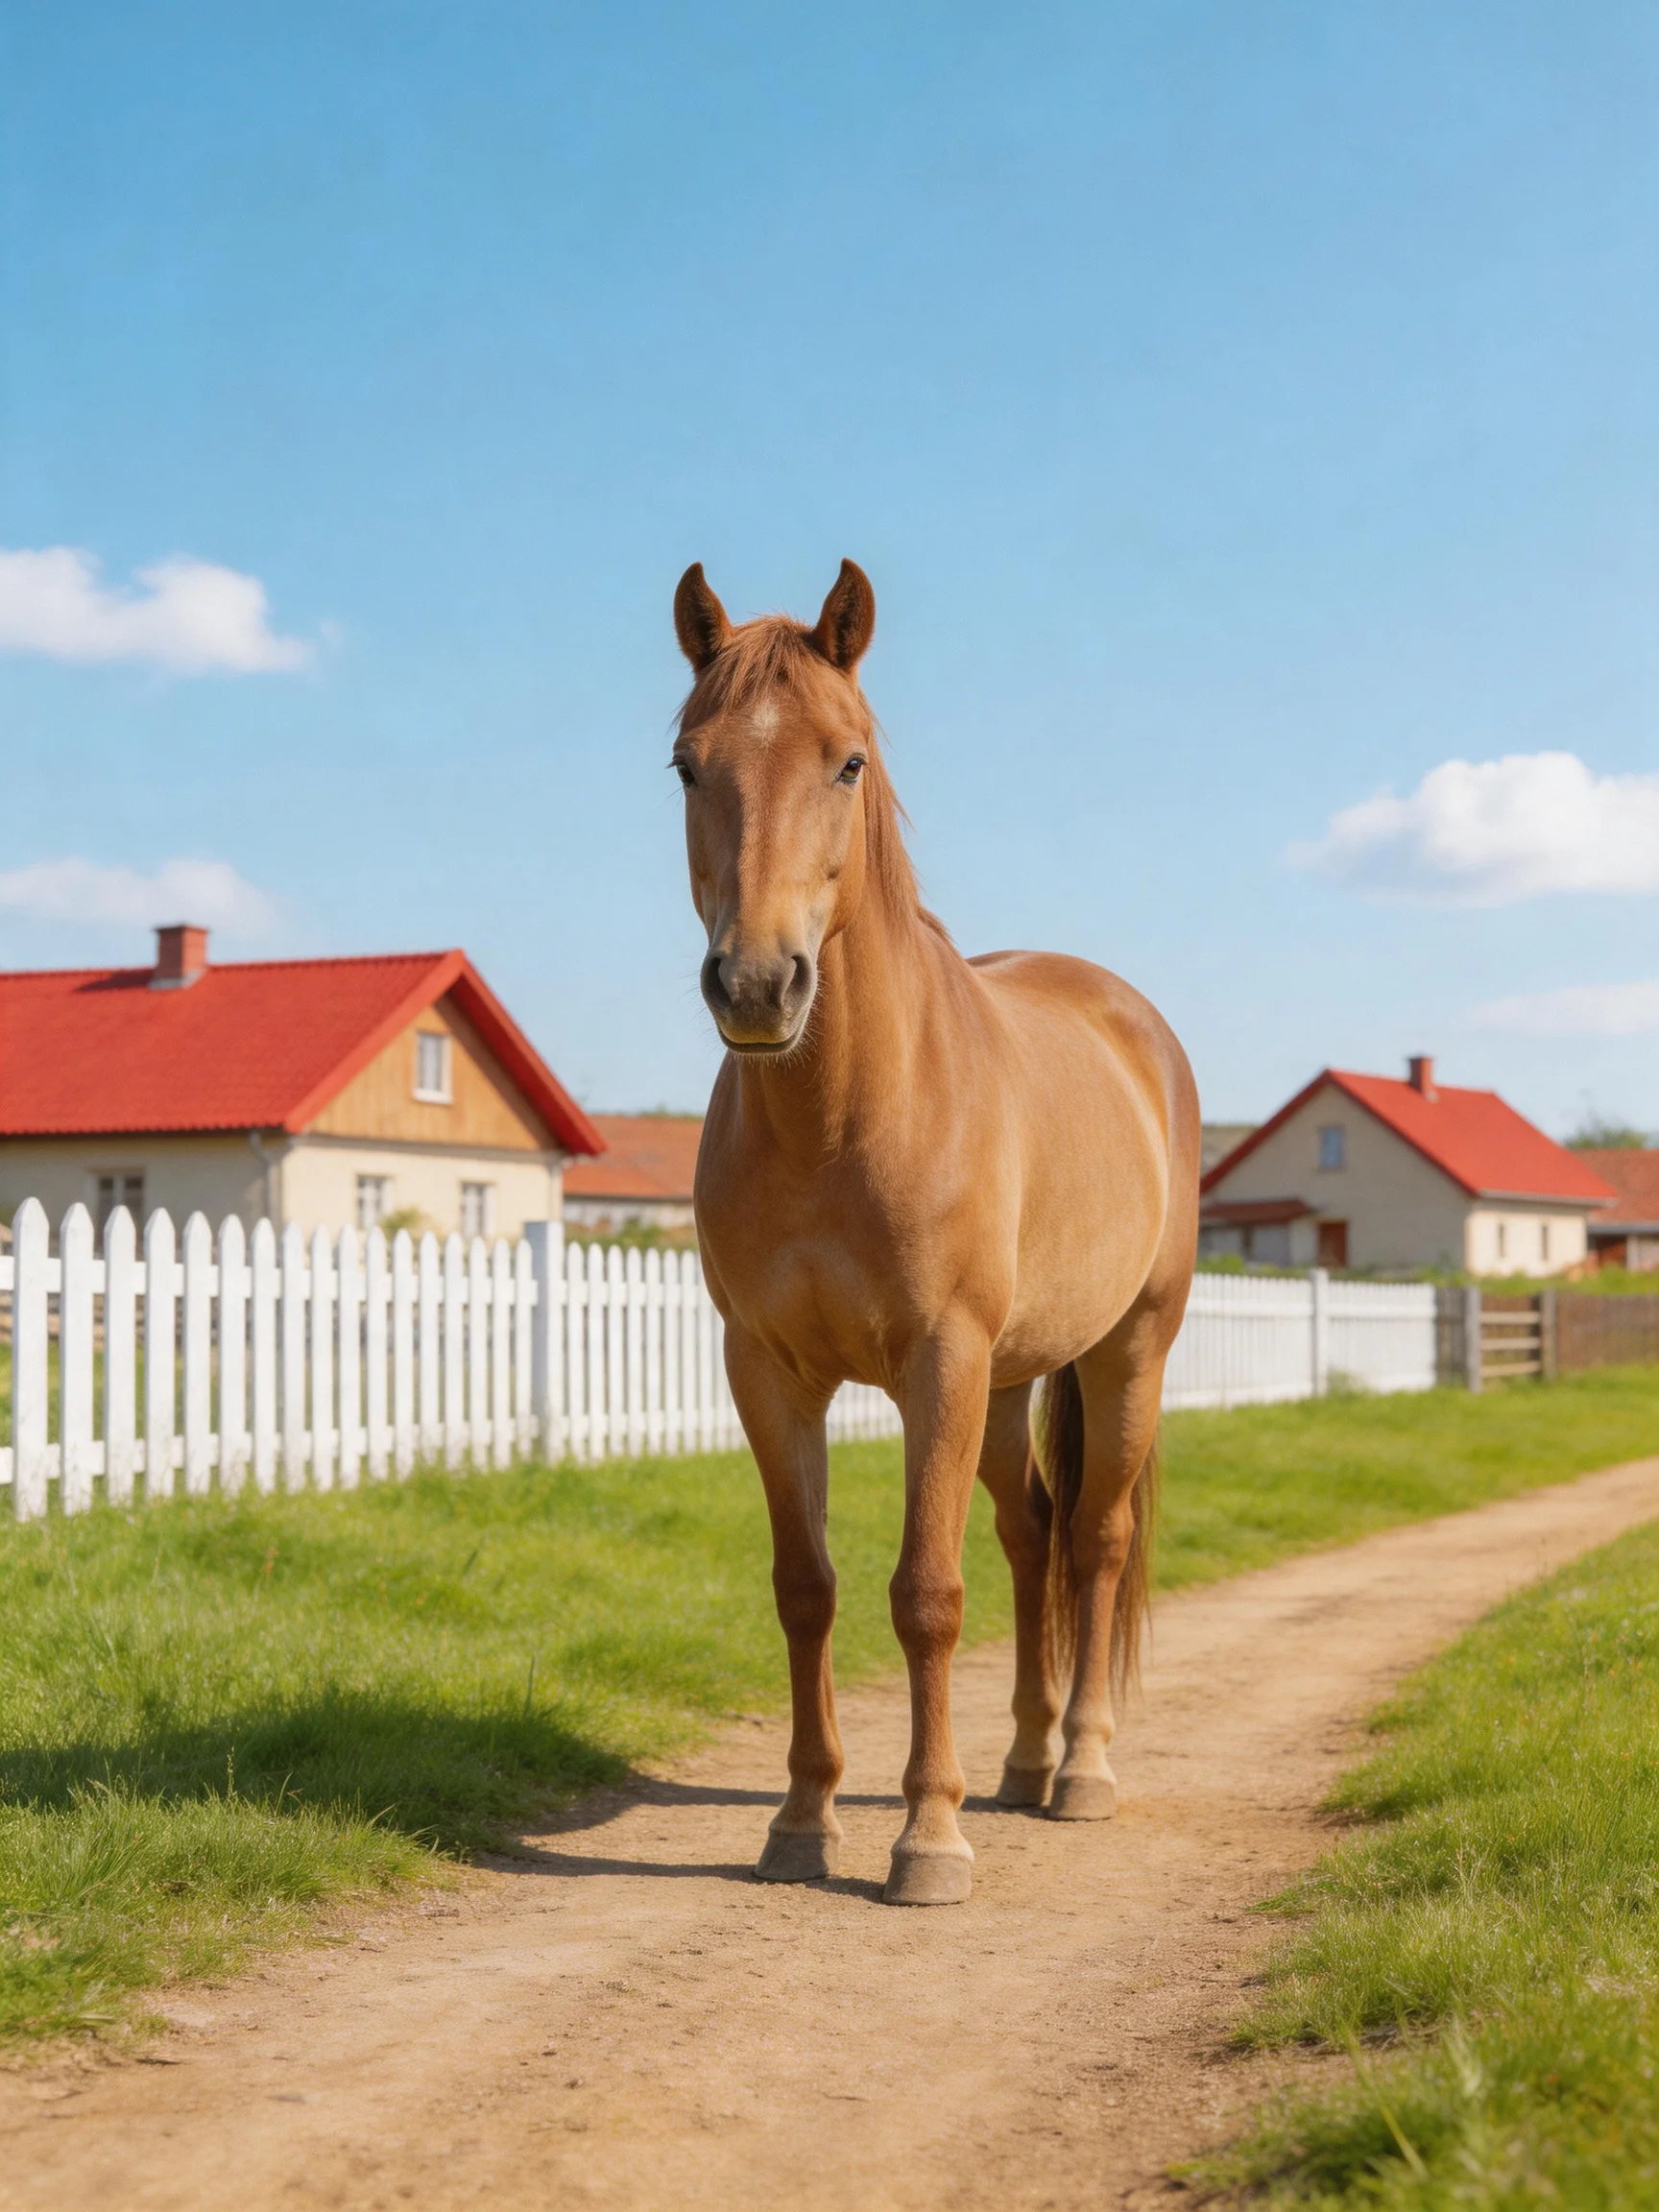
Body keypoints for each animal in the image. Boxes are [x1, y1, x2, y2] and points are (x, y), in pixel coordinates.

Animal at [672, 559, 1200, 1905]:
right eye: (688, 765)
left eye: (848, 762)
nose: (759, 986)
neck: (842, 1114)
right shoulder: (769, 1372)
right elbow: (807, 1589)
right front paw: (803, 1821)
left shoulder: (939, 1364)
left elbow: (927, 1594)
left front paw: (926, 1838)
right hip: (1011, 1384)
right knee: (1033, 1535)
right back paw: (1018, 1762)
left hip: (1125, 1352)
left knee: (1094, 1542)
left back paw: (1082, 1770)